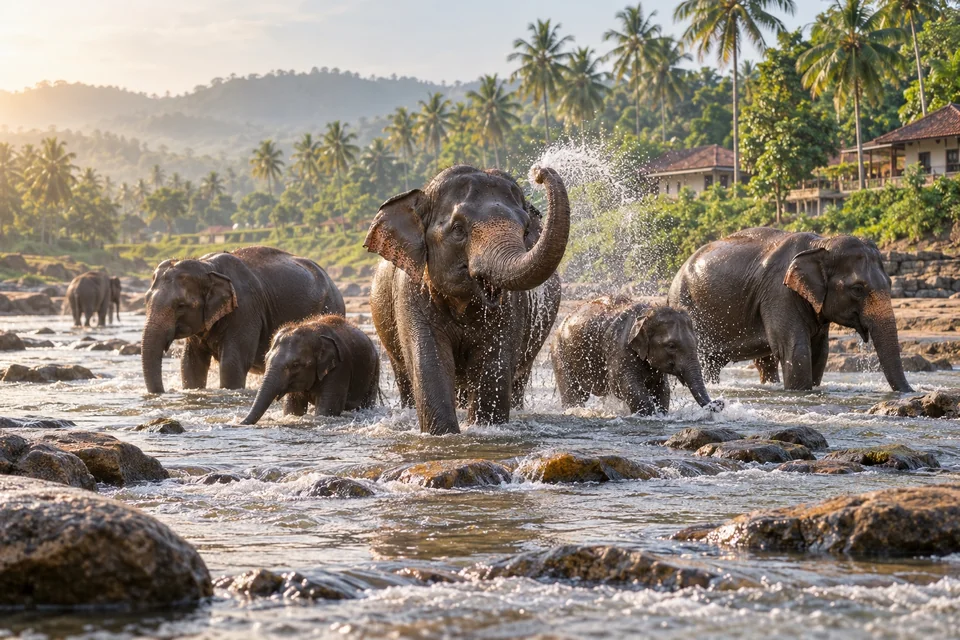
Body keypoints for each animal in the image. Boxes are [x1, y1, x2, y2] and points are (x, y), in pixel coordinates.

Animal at [141, 246, 345, 394]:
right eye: (146, 300)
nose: (164, 392)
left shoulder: (246, 309)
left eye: (181, 305)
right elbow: (191, 363)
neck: (208, 266)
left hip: (331, 306)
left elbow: (232, 362)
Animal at [240, 315, 379, 424]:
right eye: (266, 359)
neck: (313, 331)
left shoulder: (340, 368)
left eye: (295, 365)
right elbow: (294, 409)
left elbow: (326, 410)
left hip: (374, 372)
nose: (240, 423)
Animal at [366, 164, 570, 435]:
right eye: (458, 229)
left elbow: (494, 365)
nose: (538, 172)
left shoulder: (512, 307)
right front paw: (444, 434)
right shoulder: (410, 294)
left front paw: (483, 429)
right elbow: (430, 363)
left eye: (526, 230)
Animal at [551, 296, 717, 415]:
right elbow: (624, 384)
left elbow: (663, 389)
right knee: (573, 393)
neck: (646, 314)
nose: (719, 402)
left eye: (697, 343)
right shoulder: (620, 348)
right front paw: (648, 414)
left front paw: (661, 414)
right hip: (559, 353)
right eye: (671, 346)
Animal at [668, 228, 912, 392]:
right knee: (705, 359)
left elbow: (820, 351)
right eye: (858, 289)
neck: (821, 243)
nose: (909, 392)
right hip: (688, 305)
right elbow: (796, 348)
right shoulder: (779, 292)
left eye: (890, 284)